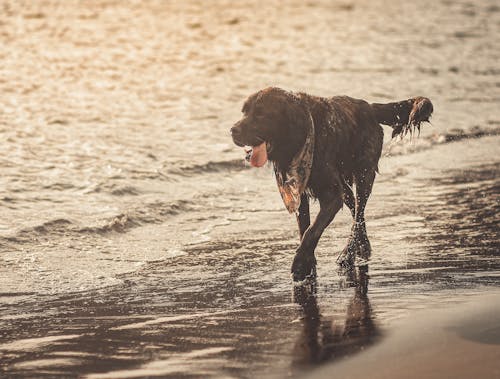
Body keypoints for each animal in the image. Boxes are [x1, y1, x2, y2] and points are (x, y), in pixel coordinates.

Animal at [231, 87, 434, 280]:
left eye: (261, 114)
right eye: (243, 112)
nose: (232, 130)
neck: (300, 137)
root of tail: (369, 106)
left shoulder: (331, 196)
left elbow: (312, 230)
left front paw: (300, 264)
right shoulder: (300, 193)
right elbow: (305, 228)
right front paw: (308, 263)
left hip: (364, 174)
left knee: (359, 213)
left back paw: (348, 254)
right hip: (345, 186)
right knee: (356, 211)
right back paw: (363, 247)